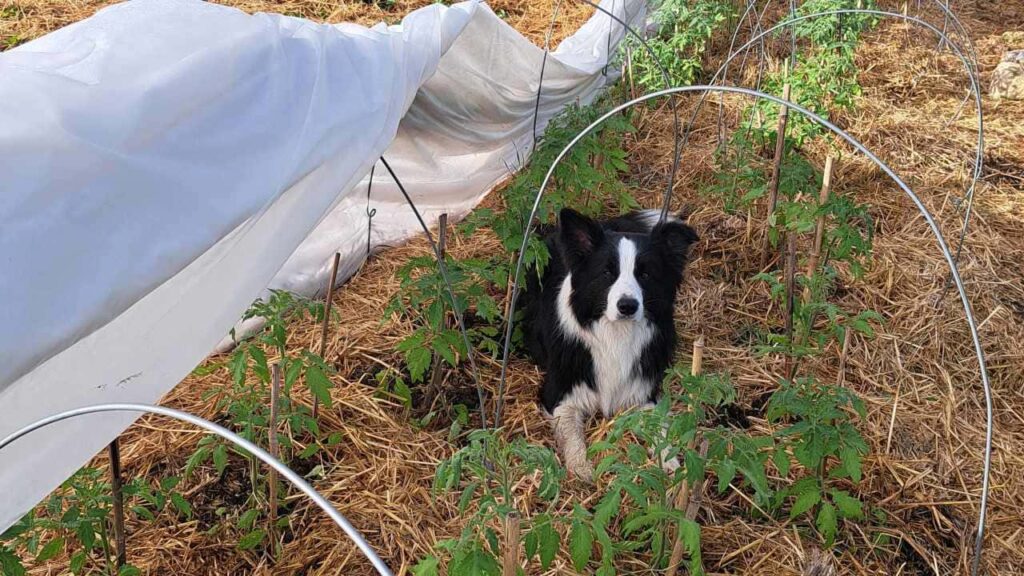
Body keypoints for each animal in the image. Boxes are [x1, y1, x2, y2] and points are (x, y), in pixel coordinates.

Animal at [524, 208, 700, 477]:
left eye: (645, 274)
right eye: (607, 273)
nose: (627, 306)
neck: (615, 334)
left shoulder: (643, 390)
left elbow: (658, 425)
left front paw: (668, 460)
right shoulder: (557, 393)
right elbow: (571, 433)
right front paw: (581, 467)